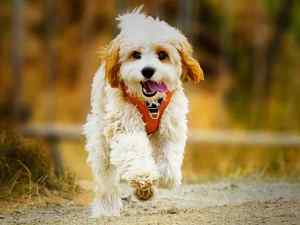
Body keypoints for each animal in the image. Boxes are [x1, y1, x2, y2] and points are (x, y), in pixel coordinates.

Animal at [83, 7, 203, 217]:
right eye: (135, 54)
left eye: (162, 54)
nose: (147, 71)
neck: (150, 104)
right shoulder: (125, 126)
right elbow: (135, 150)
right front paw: (143, 177)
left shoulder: (170, 128)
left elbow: (169, 158)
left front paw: (163, 179)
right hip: (100, 140)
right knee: (106, 178)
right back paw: (107, 207)